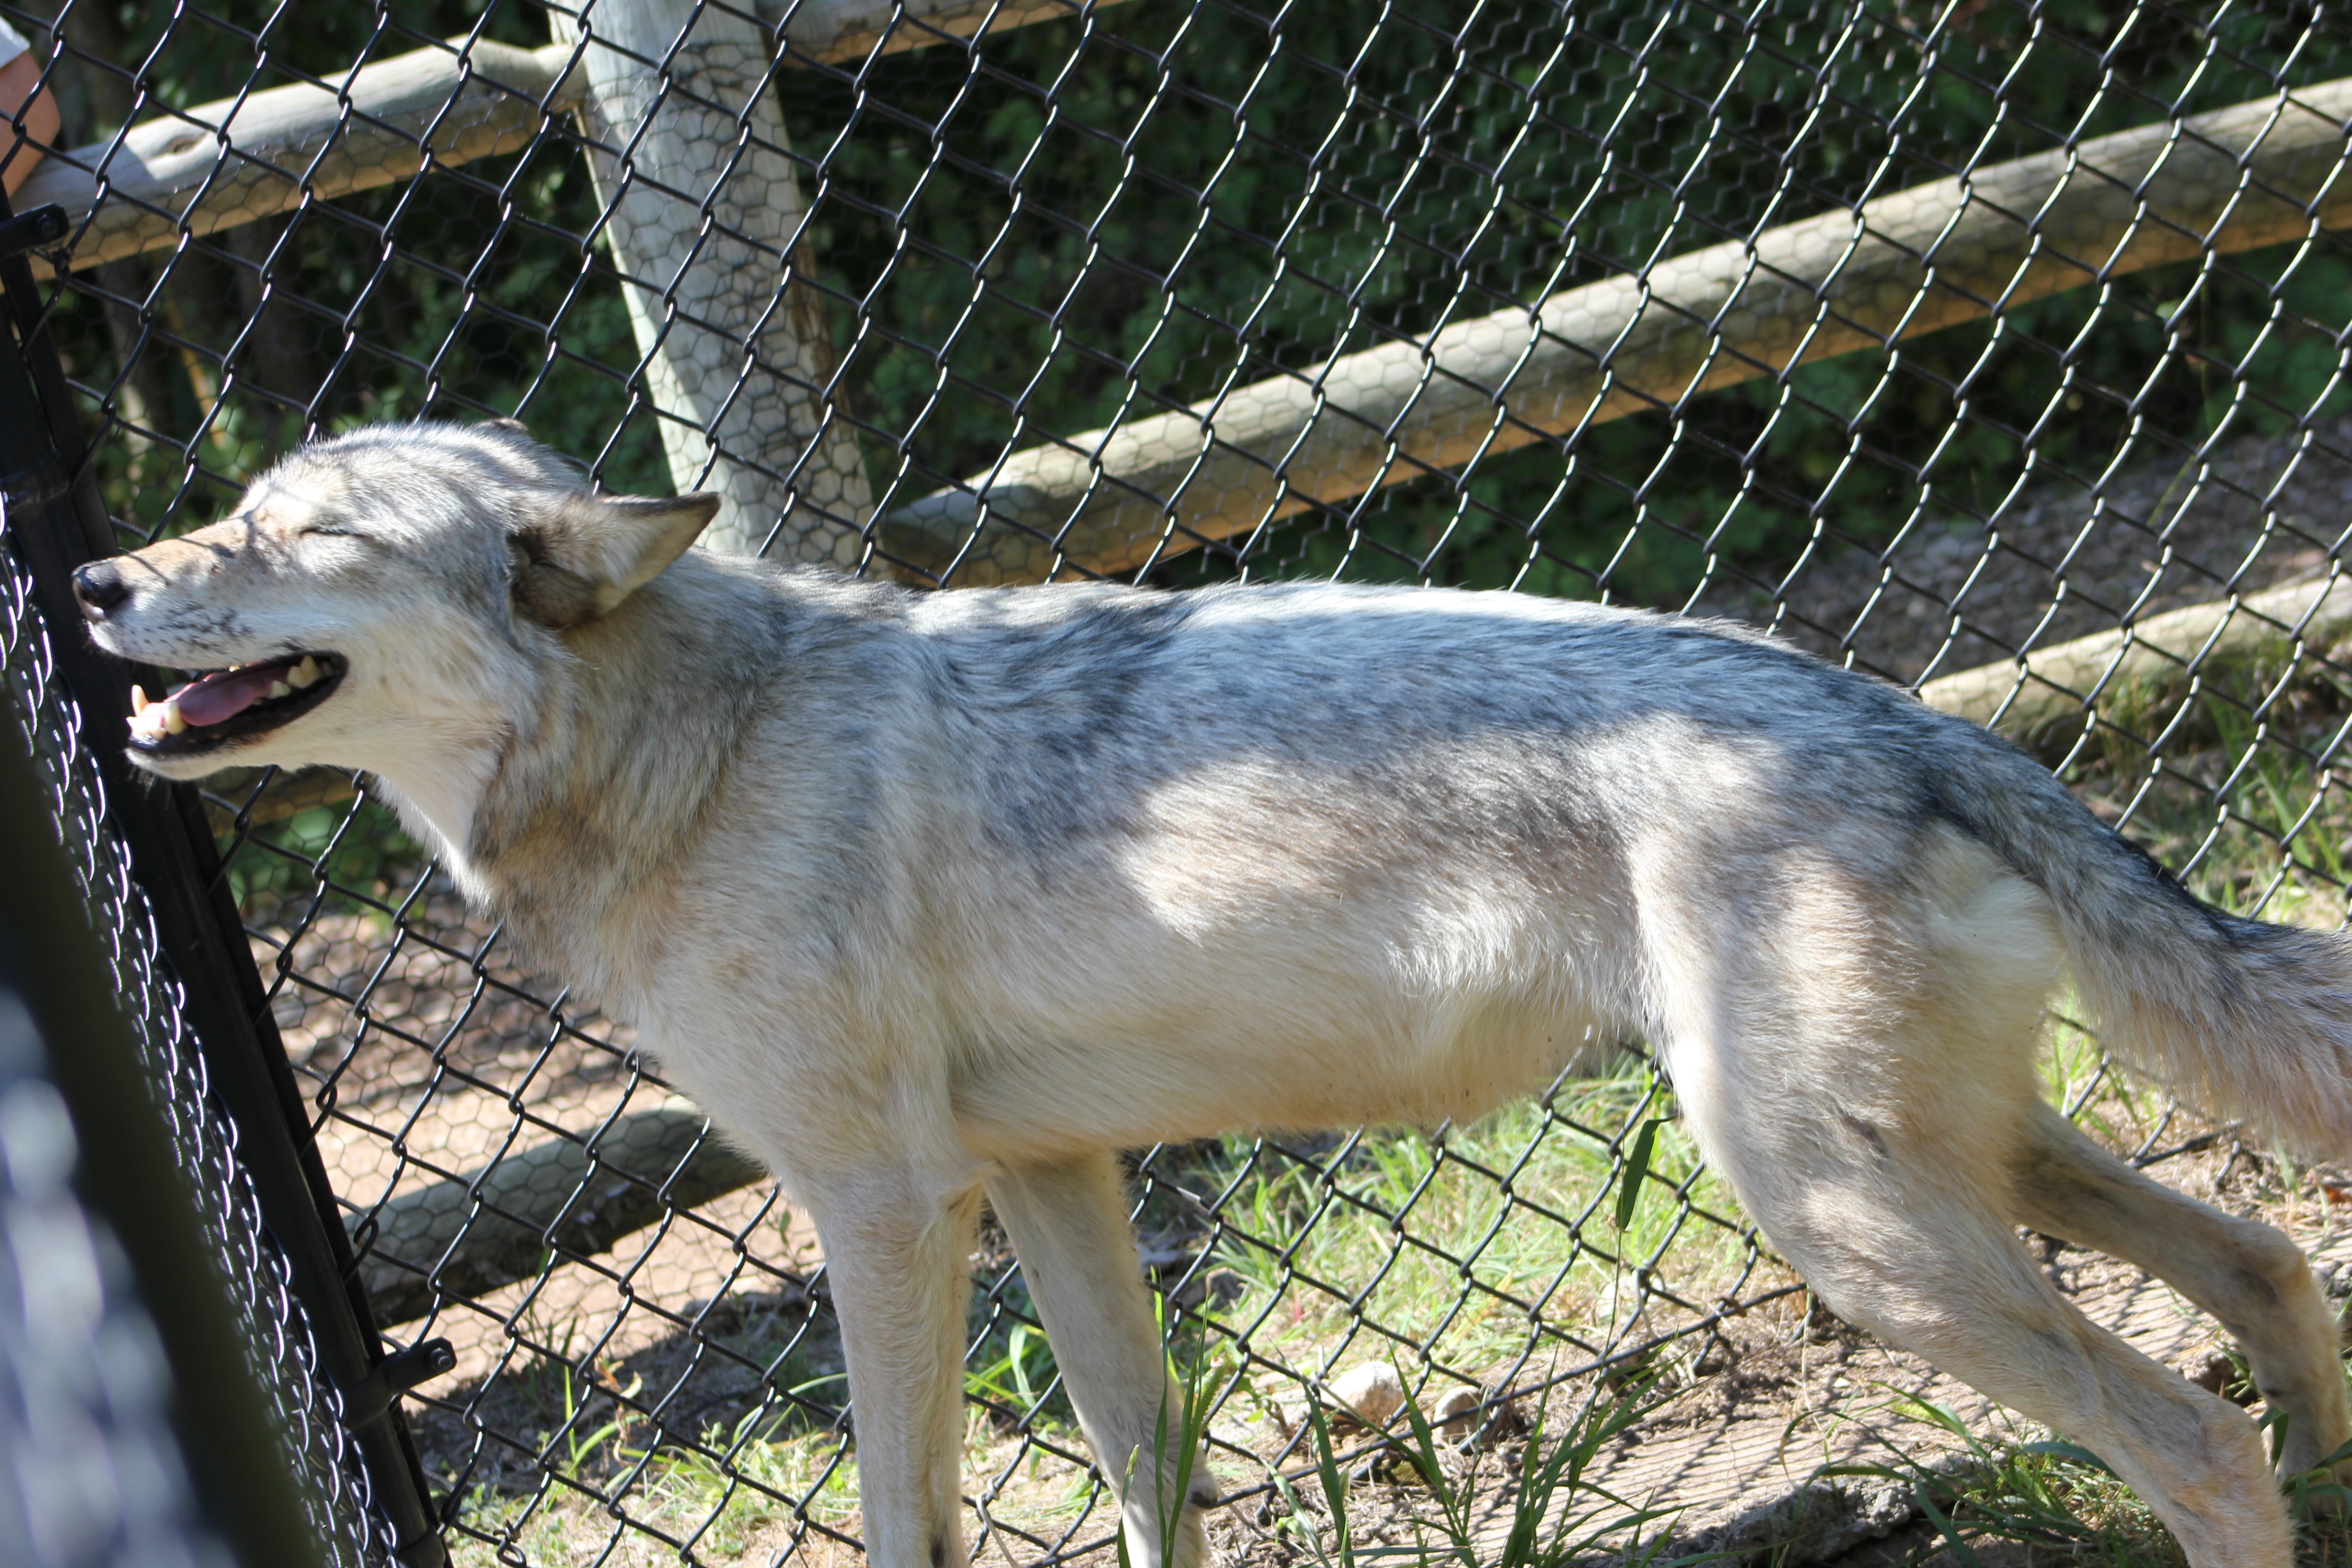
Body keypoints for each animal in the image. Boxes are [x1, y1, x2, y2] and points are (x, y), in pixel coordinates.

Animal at [72, 422, 2352, 1568]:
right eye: (228, 513)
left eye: (290, 530)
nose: (89, 579)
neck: (691, 746)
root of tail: (1899, 713)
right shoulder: (1051, 1178)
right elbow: (1140, 1473)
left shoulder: (884, 1206)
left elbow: (911, 1520)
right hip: (1947, 1175)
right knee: (2260, 1265)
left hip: (1849, 1223)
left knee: (2189, 1437)